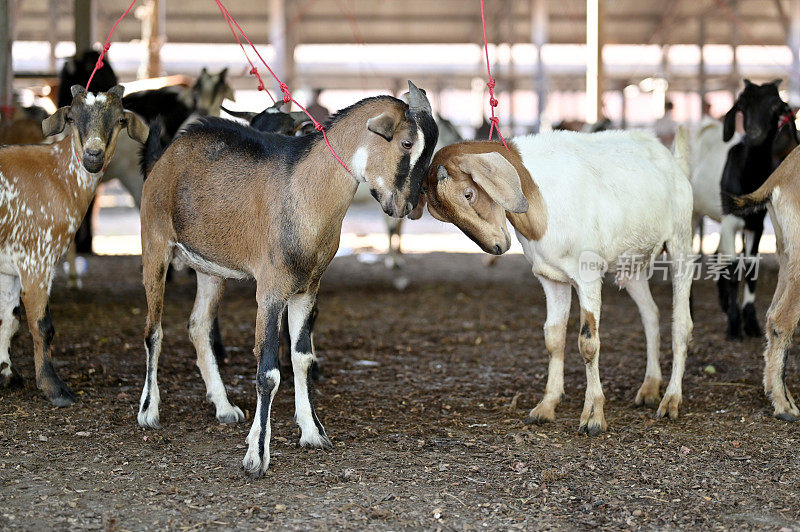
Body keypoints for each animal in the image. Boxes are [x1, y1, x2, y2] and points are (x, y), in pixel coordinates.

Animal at [0, 85, 148, 406]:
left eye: (119, 119)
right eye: (71, 117)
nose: (93, 154)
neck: (57, 176)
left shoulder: (10, 266)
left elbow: (8, 319)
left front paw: (6, 374)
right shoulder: (37, 259)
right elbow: (42, 325)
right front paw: (54, 388)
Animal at [138, 80, 438, 474]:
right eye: (406, 143)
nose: (409, 207)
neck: (306, 191)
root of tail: (165, 157)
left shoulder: (307, 289)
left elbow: (302, 358)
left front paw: (312, 432)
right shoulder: (271, 290)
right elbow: (268, 372)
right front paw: (256, 454)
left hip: (209, 268)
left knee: (198, 325)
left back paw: (224, 407)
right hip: (154, 246)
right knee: (153, 331)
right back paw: (148, 411)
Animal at [720, 77, 792, 338]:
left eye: (775, 105)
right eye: (742, 104)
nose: (754, 134)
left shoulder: (757, 223)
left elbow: (751, 268)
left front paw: (750, 322)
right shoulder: (728, 221)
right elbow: (733, 268)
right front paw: (733, 326)